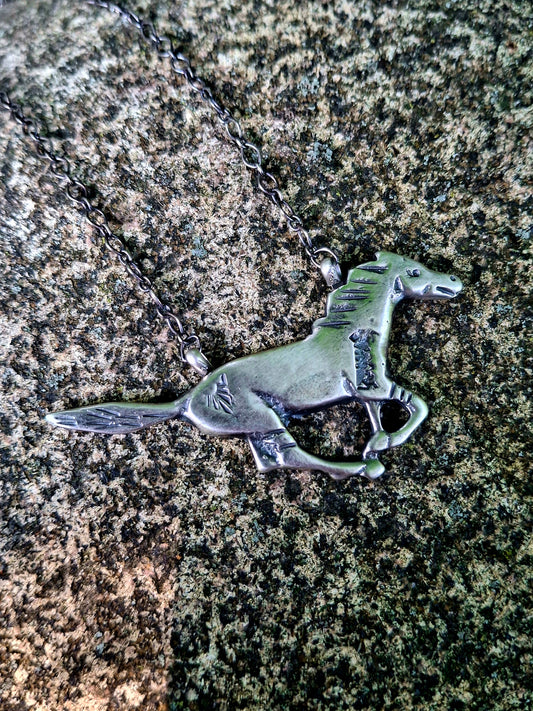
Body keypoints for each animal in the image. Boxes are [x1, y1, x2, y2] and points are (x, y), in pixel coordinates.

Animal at [46, 252, 462, 480]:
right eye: (414, 272)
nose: (454, 280)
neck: (352, 331)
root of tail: (186, 400)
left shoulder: (366, 392)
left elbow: (385, 415)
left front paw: (377, 443)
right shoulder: (371, 385)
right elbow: (417, 406)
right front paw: (381, 446)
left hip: (259, 425)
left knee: (273, 460)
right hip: (261, 415)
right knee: (288, 454)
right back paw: (358, 470)